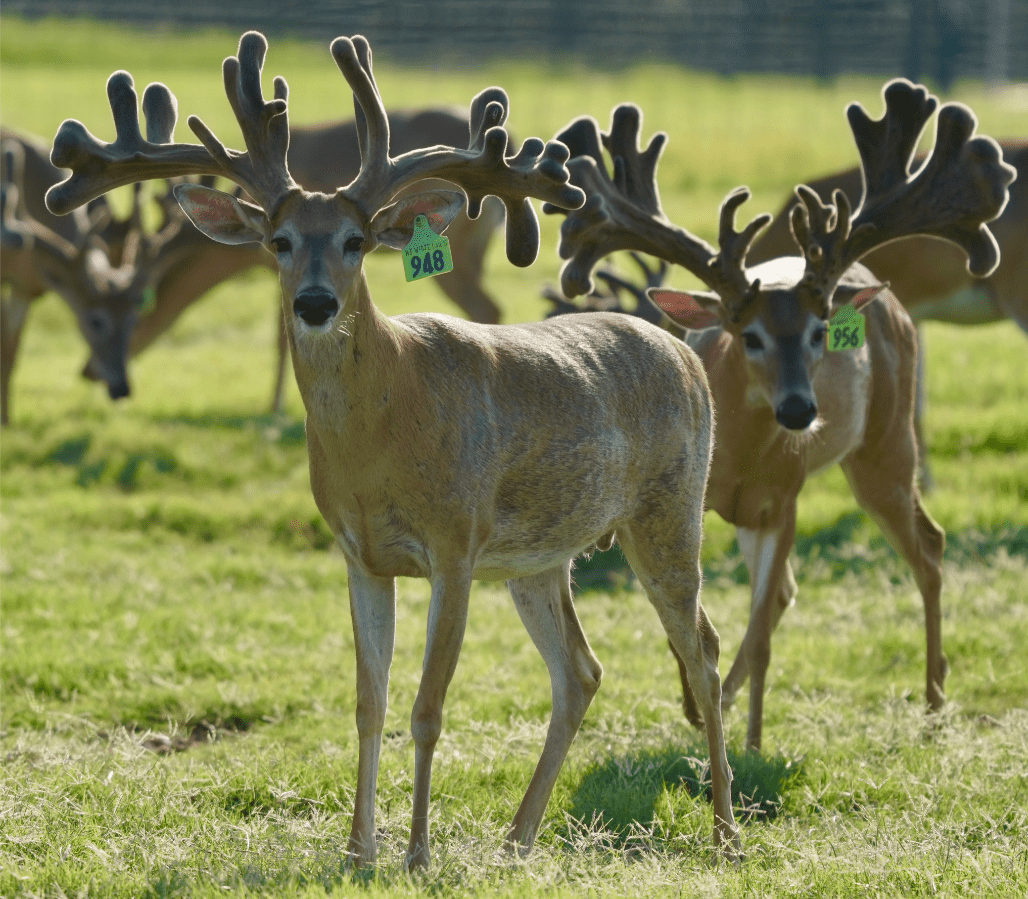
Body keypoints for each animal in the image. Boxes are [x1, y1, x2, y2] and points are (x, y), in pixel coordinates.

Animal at [1, 131, 187, 425]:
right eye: (95, 321)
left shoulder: (26, 286)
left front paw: (7, 422)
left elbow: (10, 351)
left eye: (134, 318)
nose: (121, 389)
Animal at [45, 31, 740, 868]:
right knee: (581, 670)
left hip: (668, 510)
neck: (381, 436)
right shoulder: (360, 553)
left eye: (355, 240)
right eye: (279, 241)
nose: (316, 302)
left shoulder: (456, 541)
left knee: (703, 649)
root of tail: (685, 351)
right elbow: (368, 703)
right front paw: (356, 849)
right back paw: (517, 837)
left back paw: (725, 831)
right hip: (540, 557)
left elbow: (427, 706)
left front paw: (415, 853)